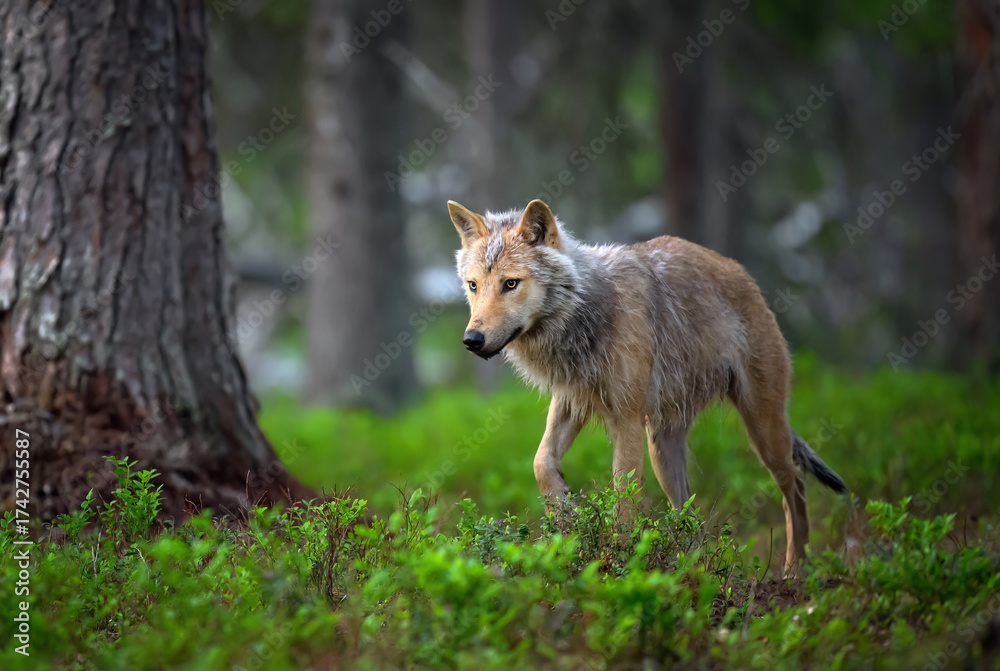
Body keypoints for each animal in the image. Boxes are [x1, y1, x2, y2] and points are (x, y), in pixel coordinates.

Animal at [447, 198, 847, 572]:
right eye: (473, 286)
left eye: (510, 284)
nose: (471, 340)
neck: (583, 316)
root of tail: (744, 276)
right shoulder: (572, 400)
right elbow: (541, 463)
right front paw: (565, 514)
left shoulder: (626, 417)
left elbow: (623, 495)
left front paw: (619, 565)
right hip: (663, 451)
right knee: (692, 520)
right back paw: (695, 572)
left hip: (764, 431)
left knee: (795, 489)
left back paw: (794, 569)